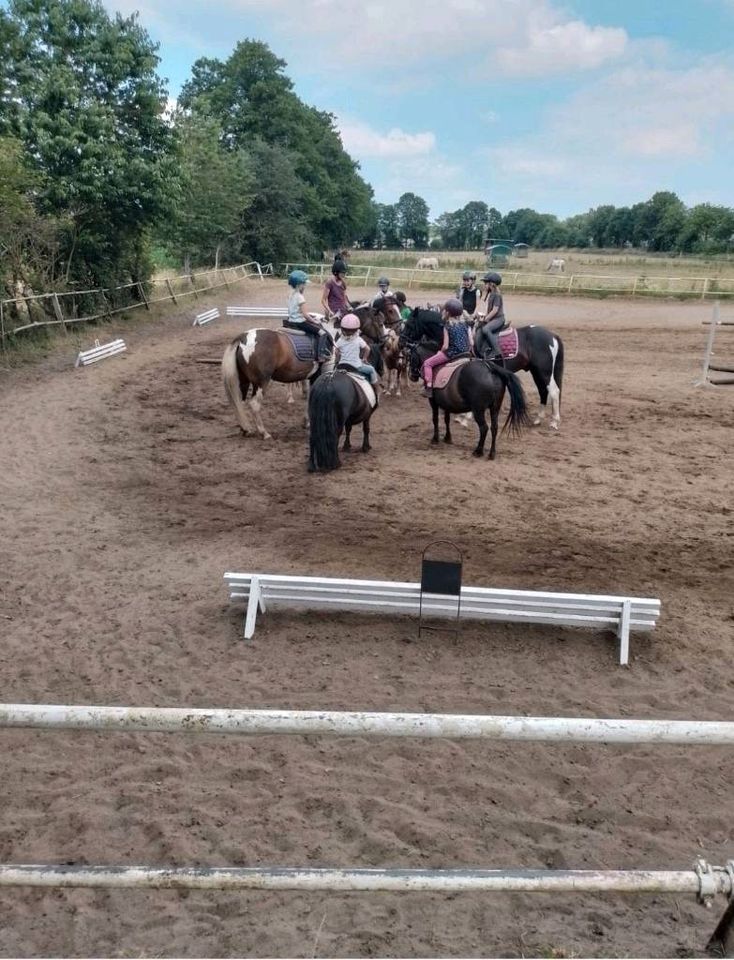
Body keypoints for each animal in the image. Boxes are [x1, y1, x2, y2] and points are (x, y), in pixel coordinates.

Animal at [400, 312, 532, 462]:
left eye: (409, 324)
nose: (412, 376)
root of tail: (490, 368)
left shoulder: (433, 401)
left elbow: (435, 419)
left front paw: (435, 439)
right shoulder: (446, 402)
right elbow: (446, 419)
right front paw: (448, 438)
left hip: (479, 409)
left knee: (484, 428)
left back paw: (478, 451)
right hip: (494, 408)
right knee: (494, 427)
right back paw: (491, 453)